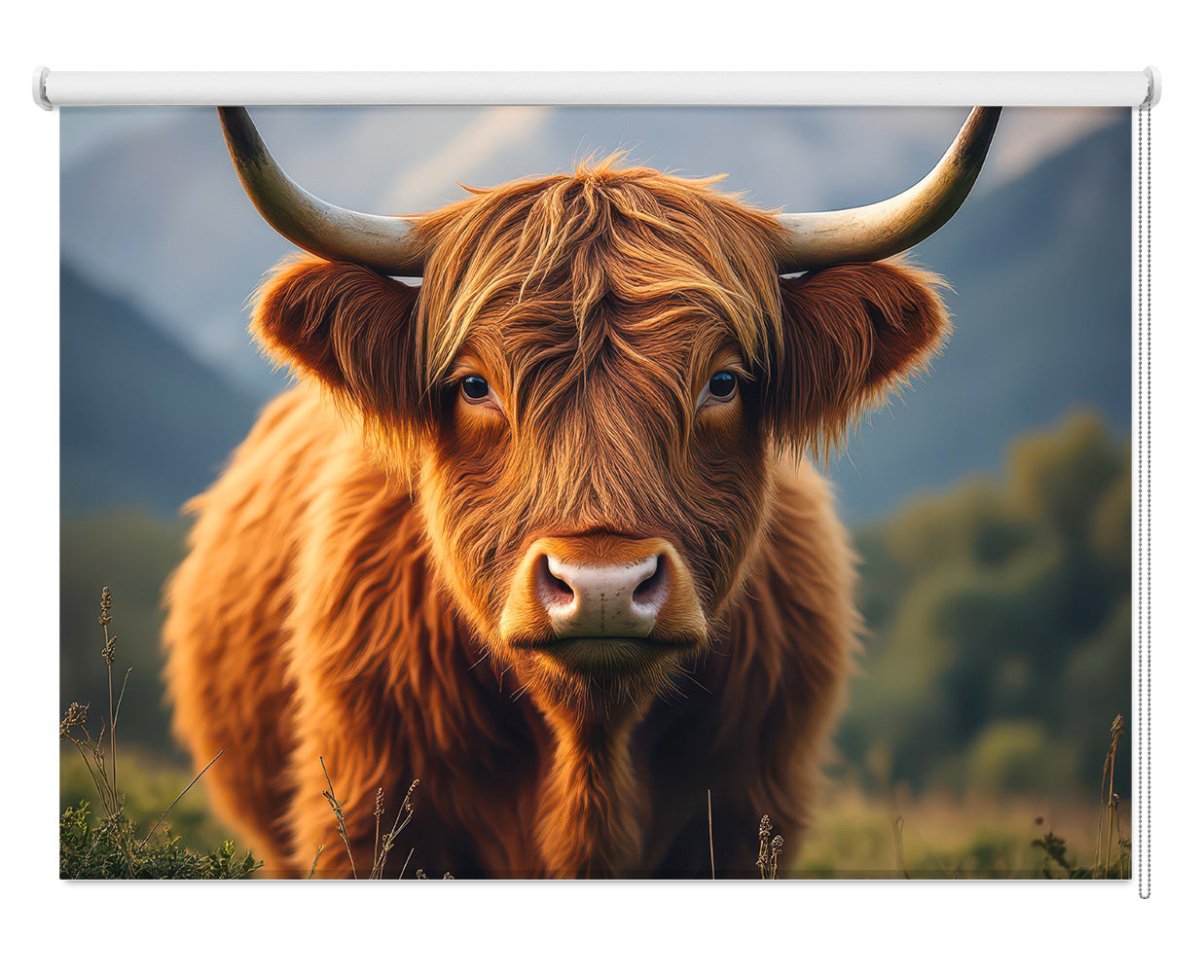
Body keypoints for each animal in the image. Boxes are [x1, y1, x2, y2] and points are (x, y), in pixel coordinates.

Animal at [164, 106, 999, 878]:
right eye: (473, 384)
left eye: (724, 381)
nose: (602, 585)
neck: (590, 749)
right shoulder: (367, 819)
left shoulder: (741, 816)